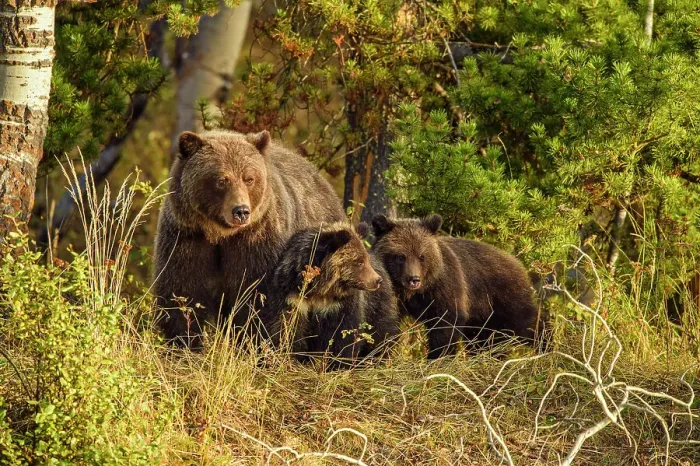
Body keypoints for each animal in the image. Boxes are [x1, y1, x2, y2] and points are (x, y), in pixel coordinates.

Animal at [153, 130, 345, 348]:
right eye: (221, 180)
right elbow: (183, 291)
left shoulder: (257, 240)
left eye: (249, 178)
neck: (221, 235)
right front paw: (186, 342)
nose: (241, 211)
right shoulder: (187, 237)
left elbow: (257, 297)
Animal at [260, 222, 401, 368]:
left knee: (381, 330)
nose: (377, 280)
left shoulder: (338, 305)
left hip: (377, 304)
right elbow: (287, 327)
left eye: (364, 260)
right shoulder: (292, 296)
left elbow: (342, 333)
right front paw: (291, 357)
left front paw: (338, 363)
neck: (319, 289)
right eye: (359, 262)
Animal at [371, 213, 540, 359]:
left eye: (422, 256)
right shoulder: (391, 293)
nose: (414, 279)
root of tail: (517, 262)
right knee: (483, 339)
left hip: (504, 295)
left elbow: (446, 322)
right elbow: (384, 323)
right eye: (401, 256)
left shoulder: (444, 286)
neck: (413, 293)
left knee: (527, 322)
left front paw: (437, 356)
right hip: (483, 314)